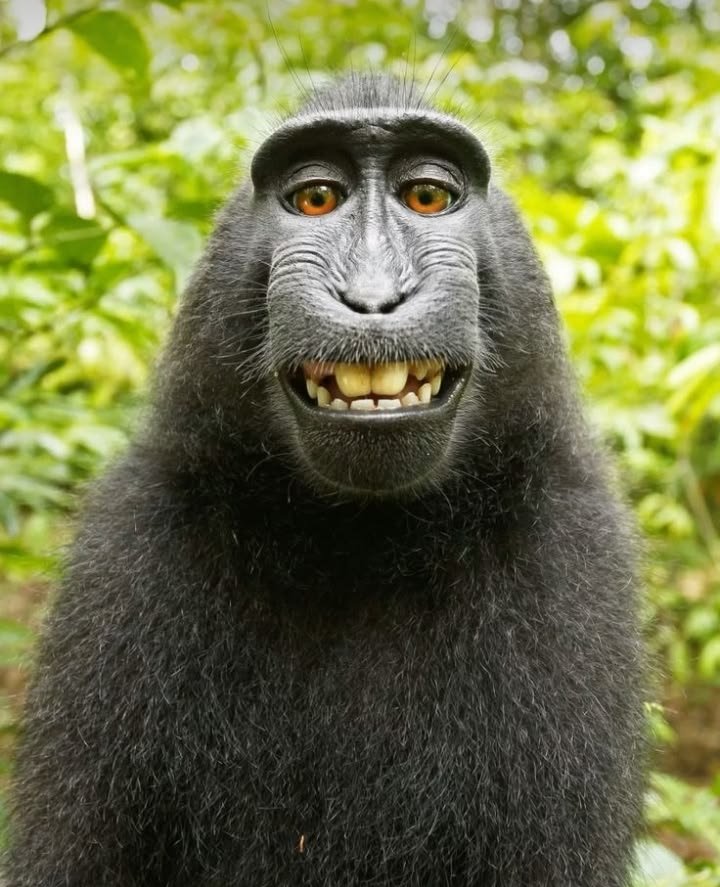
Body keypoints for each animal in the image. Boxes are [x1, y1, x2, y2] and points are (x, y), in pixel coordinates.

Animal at [5, 73, 645, 886]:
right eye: (315, 199)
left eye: (427, 197)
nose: (372, 298)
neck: (360, 543)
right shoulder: (129, 543)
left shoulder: (570, 548)